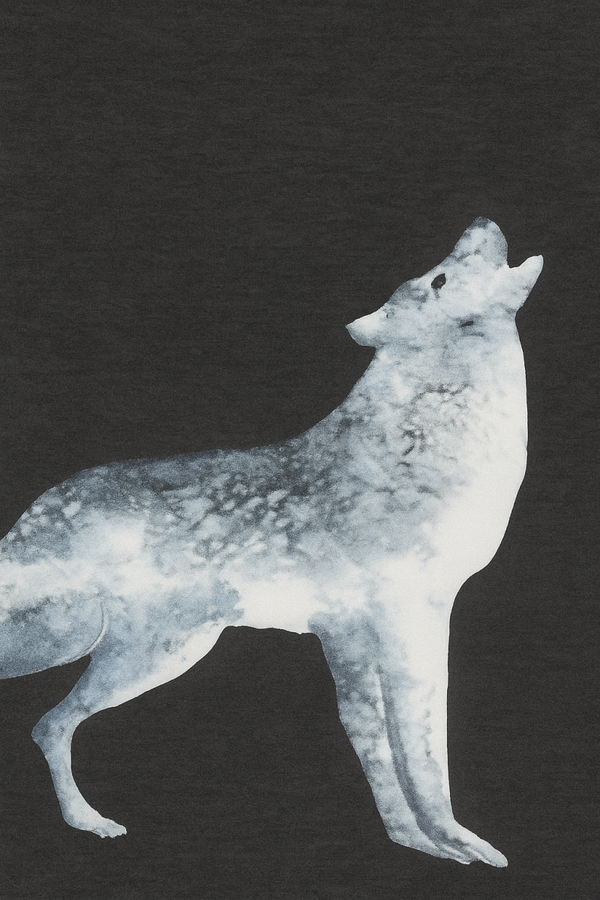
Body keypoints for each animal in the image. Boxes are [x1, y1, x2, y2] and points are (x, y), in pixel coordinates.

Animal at [0, 218, 542, 866]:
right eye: (438, 278)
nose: (481, 221)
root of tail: (37, 510)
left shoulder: (375, 627)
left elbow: (389, 745)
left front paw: (415, 840)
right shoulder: (400, 619)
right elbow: (417, 751)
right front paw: (455, 844)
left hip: (167, 651)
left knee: (49, 725)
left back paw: (88, 822)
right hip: (143, 655)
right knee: (50, 724)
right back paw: (89, 819)